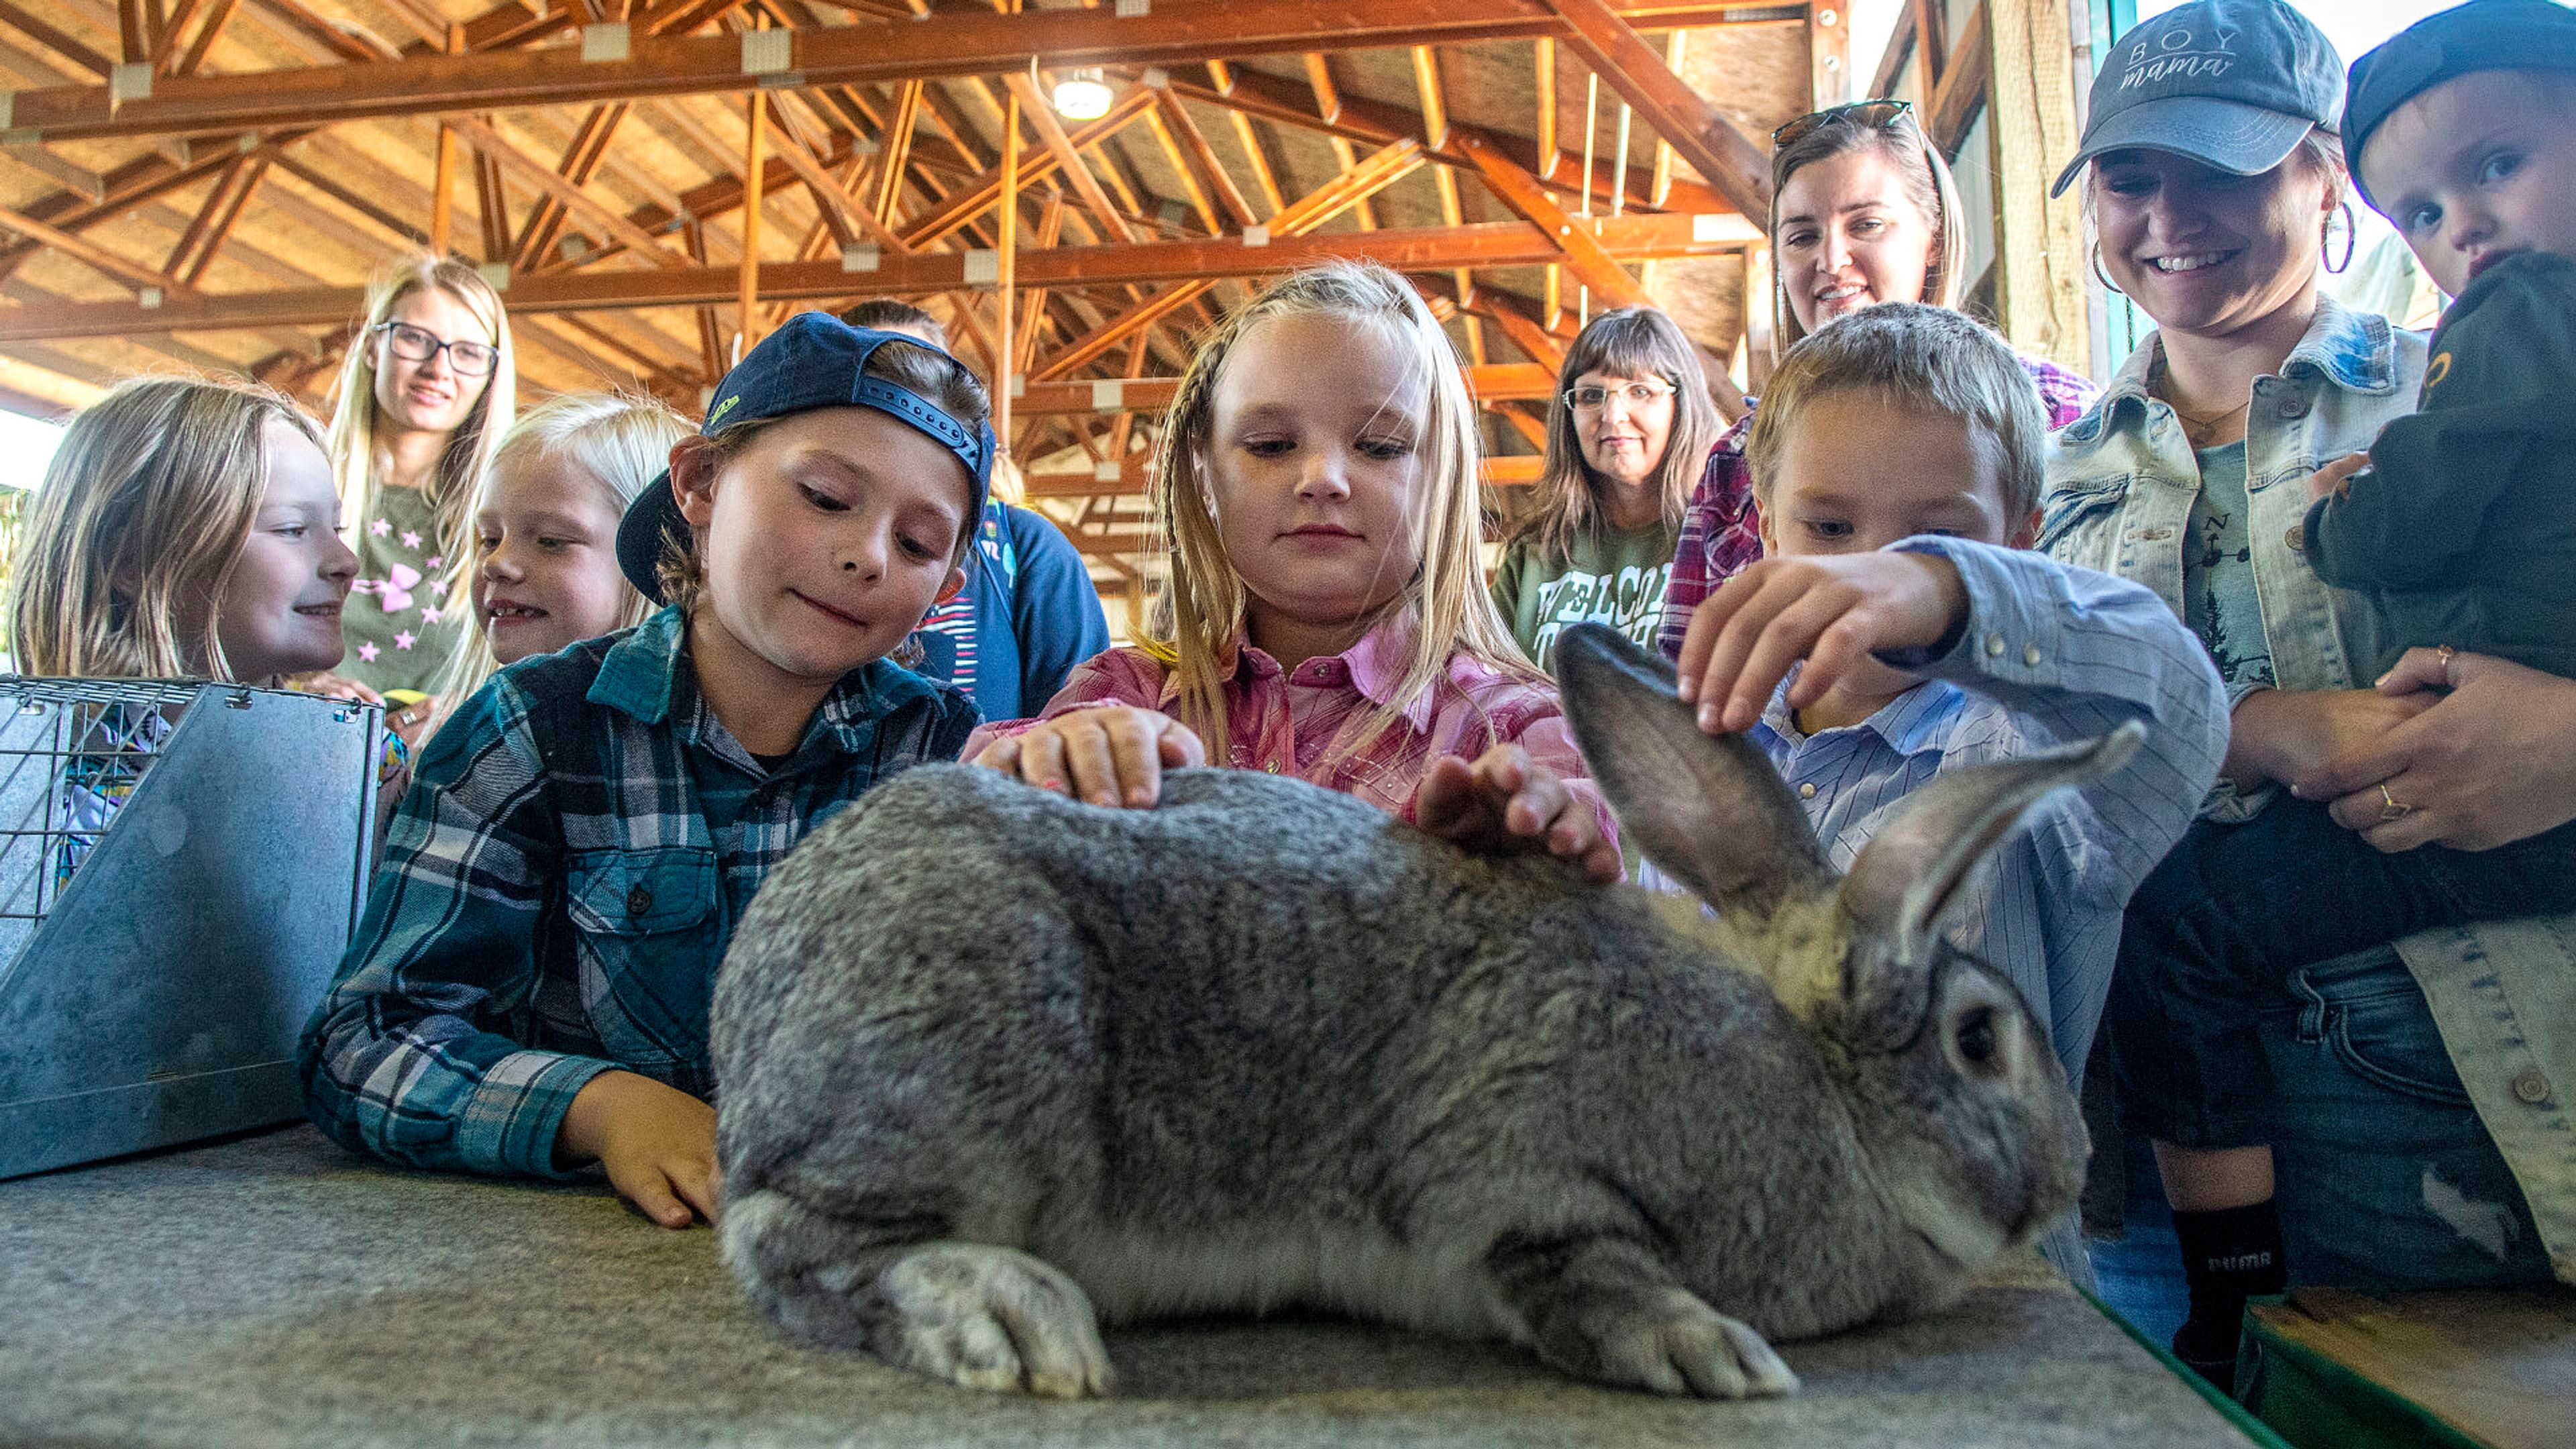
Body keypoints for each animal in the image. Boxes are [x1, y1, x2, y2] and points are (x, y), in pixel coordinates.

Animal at [710, 624, 2112, 1402]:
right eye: (1981, 1039)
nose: (2074, 1177)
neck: (1816, 1085)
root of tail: (748, 1033)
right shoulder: (1521, 1166)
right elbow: (1583, 1272)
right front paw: (1707, 1352)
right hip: (968, 1077)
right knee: (788, 1242)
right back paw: (1008, 1318)